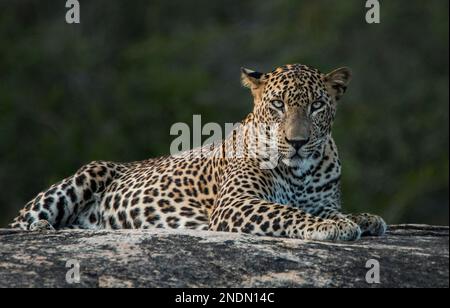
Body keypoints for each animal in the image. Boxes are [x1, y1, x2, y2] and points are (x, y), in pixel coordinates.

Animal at [8, 62, 386, 241]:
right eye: (278, 104)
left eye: (317, 106)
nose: (297, 142)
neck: (300, 172)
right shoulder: (236, 202)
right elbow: (288, 212)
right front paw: (335, 227)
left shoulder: (323, 201)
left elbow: (332, 211)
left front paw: (363, 218)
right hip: (88, 173)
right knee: (18, 222)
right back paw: (42, 227)